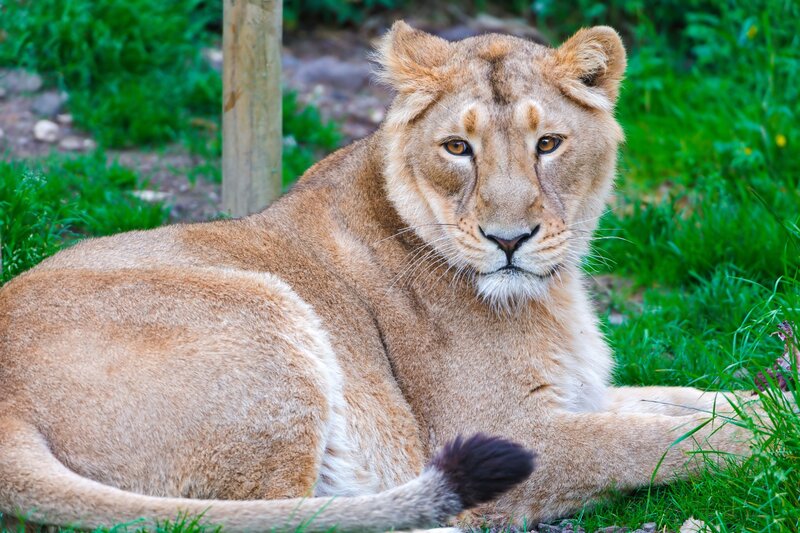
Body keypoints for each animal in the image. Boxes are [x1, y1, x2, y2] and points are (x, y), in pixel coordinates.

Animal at [0, 22, 753, 531]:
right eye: (457, 147)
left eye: (549, 144)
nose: (509, 241)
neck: (549, 293)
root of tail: (7, 406)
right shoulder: (499, 426)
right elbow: (656, 440)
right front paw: (767, 446)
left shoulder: (581, 394)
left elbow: (694, 400)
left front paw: (767, 404)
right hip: (265, 313)